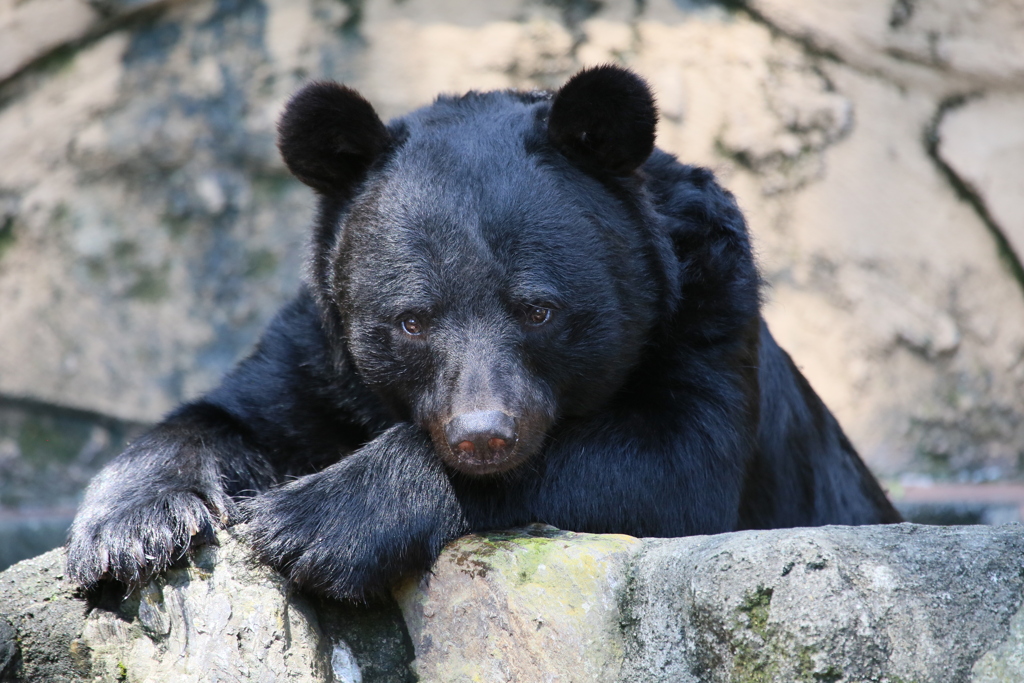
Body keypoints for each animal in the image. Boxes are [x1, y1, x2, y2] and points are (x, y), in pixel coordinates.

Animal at [64, 63, 901, 598]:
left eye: (538, 309)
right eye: (410, 321)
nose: (482, 435)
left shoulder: (706, 312)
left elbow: (675, 462)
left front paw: (311, 520)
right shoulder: (319, 358)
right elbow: (228, 415)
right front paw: (127, 532)